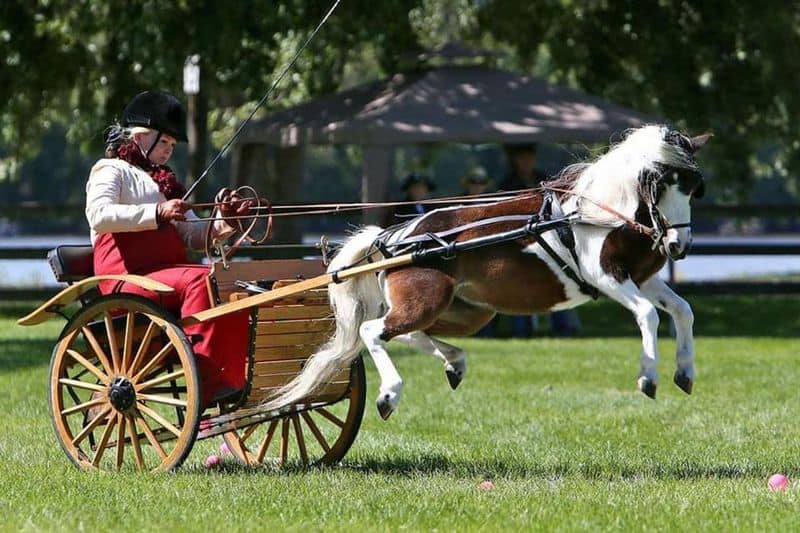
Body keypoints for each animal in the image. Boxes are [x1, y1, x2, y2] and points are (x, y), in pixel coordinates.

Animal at [270, 125, 712, 420]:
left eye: (693, 187)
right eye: (658, 183)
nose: (679, 245)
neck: (598, 214)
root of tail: (393, 237)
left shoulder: (643, 280)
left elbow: (683, 311)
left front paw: (685, 370)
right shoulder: (607, 277)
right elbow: (649, 315)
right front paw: (648, 377)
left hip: (467, 312)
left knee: (408, 333)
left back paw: (455, 362)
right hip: (427, 300)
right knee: (373, 331)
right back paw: (390, 393)